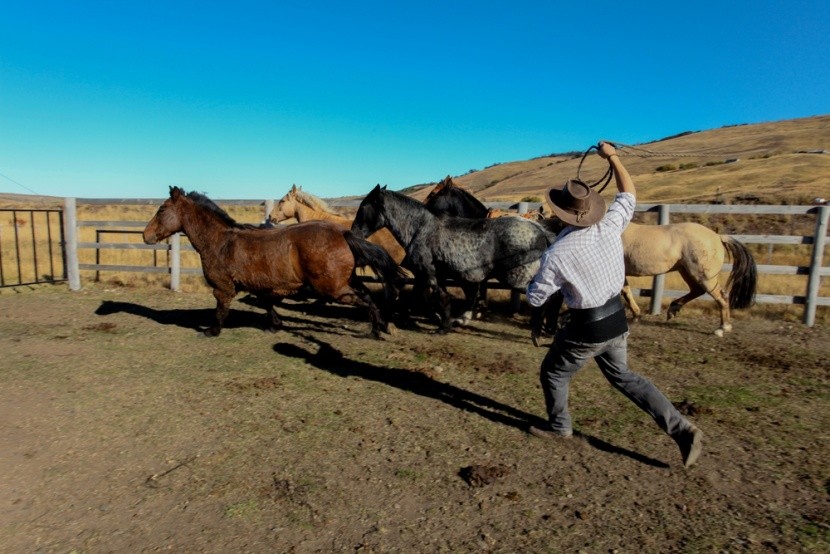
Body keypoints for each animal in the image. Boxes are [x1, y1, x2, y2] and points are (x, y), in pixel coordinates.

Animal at [352, 184, 556, 332]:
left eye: (363, 207)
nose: (354, 232)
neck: (421, 228)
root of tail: (540, 231)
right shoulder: (428, 275)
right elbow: (424, 297)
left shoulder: (430, 273)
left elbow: (439, 298)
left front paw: (442, 326)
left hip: (519, 279)